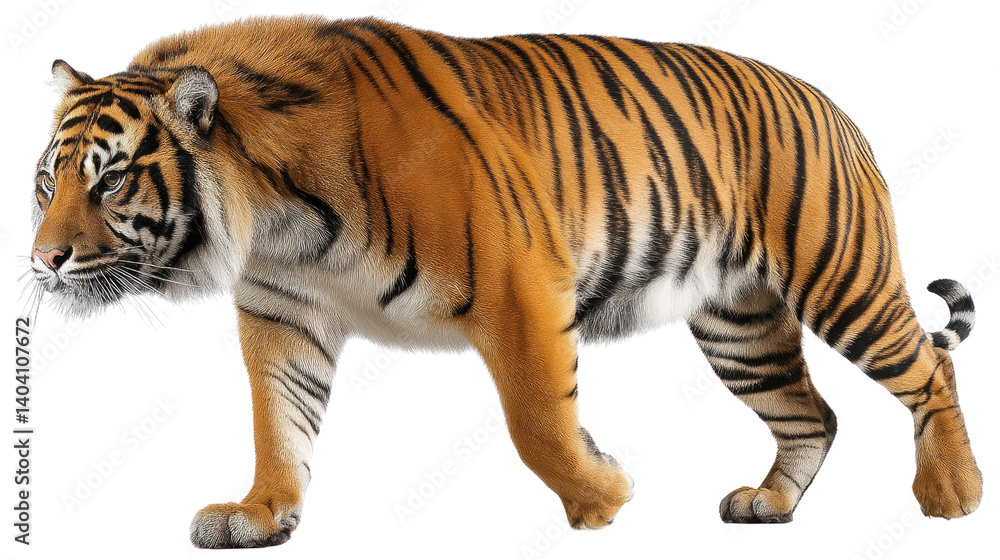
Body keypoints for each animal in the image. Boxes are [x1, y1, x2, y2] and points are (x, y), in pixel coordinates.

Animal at [28, 15, 981, 548]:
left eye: (111, 181)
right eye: (48, 182)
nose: (42, 261)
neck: (279, 220)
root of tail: (832, 104)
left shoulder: (520, 288)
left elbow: (538, 424)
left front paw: (603, 494)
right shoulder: (282, 313)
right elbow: (278, 422)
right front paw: (261, 515)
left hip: (841, 277)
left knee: (930, 369)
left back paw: (955, 496)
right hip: (739, 325)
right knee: (812, 412)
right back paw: (769, 505)